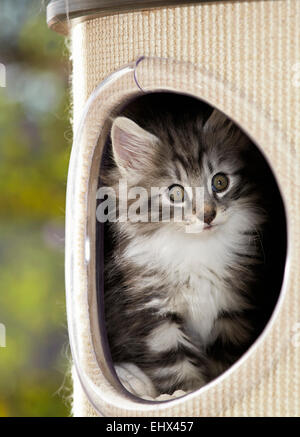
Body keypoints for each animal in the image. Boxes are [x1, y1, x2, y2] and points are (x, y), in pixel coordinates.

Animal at [100, 93, 276, 398]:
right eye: (176, 193)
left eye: (220, 181)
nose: (208, 214)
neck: (196, 248)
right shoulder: (152, 314)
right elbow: (175, 364)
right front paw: (184, 393)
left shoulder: (235, 308)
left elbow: (223, 363)